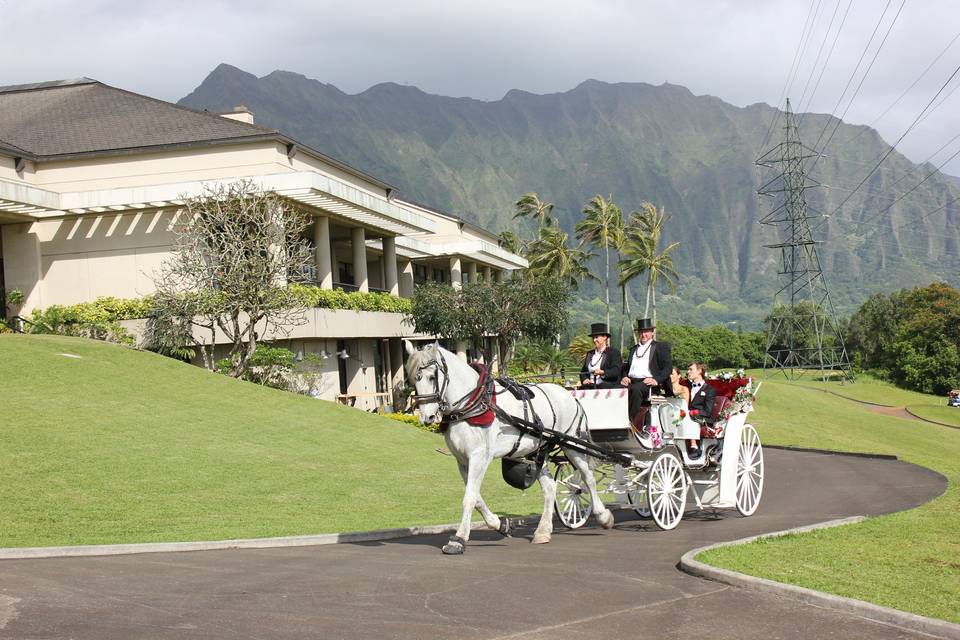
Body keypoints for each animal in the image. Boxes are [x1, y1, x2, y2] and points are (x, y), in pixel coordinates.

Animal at [404, 340, 616, 556]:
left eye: (432, 376)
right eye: (414, 379)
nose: (427, 417)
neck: (474, 404)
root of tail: (569, 395)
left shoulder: (479, 457)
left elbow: (469, 498)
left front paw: (459, 539)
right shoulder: (463, 460)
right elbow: (477, 498)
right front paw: (500, 524)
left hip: (573, 444)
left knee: (588, 479)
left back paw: (603, 516)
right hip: (537, 450)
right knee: (550, 488)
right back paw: (543, 531)